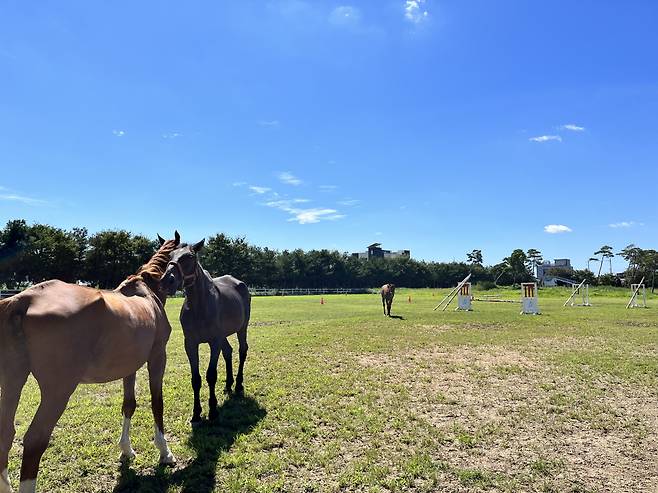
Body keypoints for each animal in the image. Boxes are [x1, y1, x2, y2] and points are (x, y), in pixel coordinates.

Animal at [0, 232, 179, 492]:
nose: (172, 281)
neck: (146, 292)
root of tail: (23, 300)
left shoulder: (130, 365)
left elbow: (129, 404)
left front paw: (126, 450)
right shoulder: (157, 357)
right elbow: (157, 403)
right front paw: (164, 452)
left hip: (12, 381)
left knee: (6, 432)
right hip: (57, 391)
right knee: (34, 439)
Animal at [160, 238, 250, 422]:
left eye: (189, 257)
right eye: (169, 256)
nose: (167, 281)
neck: (199, 306)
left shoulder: (214, 342)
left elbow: (211, 375)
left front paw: (213, 410)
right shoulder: (190, 344)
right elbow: (196, 379)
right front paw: (196, 413)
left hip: (242, 328)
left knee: (242, 350)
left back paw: (238, 385)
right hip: (224, 335)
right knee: (228, 351)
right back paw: (229, 384)